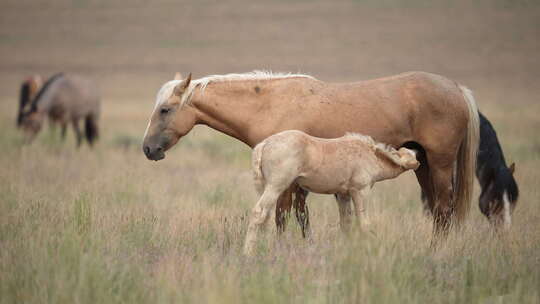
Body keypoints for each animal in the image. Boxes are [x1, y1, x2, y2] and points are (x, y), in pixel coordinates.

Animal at [141, 70, 478, 240]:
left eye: (165, 110)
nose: (148, 148)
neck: (270, 104)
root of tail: (457, 88)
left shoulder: (286, 182)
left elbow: (281, 217)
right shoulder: (298, 183)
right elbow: (301, 218)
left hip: (440, 163)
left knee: (443, 208)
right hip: (423, 165)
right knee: (438, 211)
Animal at [243, 129, 420, 255]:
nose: (418, 159)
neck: (371, 155)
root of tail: (264, 144)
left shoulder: (343, 194)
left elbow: (346, 223)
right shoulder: (360, 191)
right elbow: (364, 223)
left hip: (266, 187)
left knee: (266, 217)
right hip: (276, 186)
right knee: (259, 212)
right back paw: (248, 253)